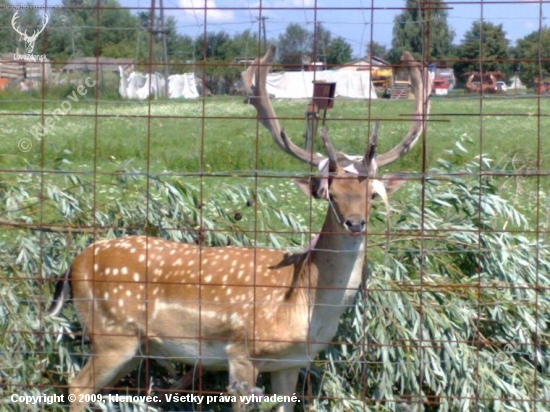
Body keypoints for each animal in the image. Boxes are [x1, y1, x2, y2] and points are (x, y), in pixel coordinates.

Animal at [47, 46, 434, 410]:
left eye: (372, 195)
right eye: (331, 194)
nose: (355, 223)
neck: (305, 299)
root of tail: (72, 267)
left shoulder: (290, 362)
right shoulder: (241, 351)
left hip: (134, 346)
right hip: (113, 334)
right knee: (76, 385)